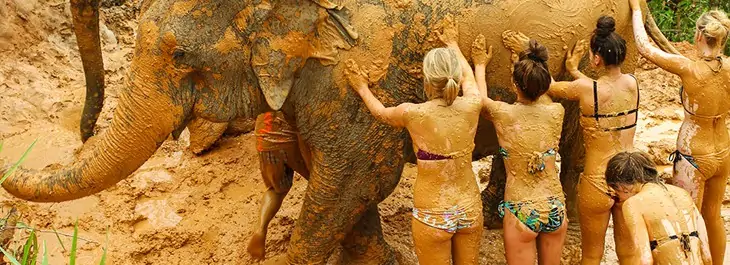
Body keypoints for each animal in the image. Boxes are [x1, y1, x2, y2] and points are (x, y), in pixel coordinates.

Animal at [0, 0, 672, 262]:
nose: (80, 130)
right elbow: (344, 181)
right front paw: (378, 260)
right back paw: (489, 213)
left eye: (180, 58)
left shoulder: (356, 64)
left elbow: (354, 177)